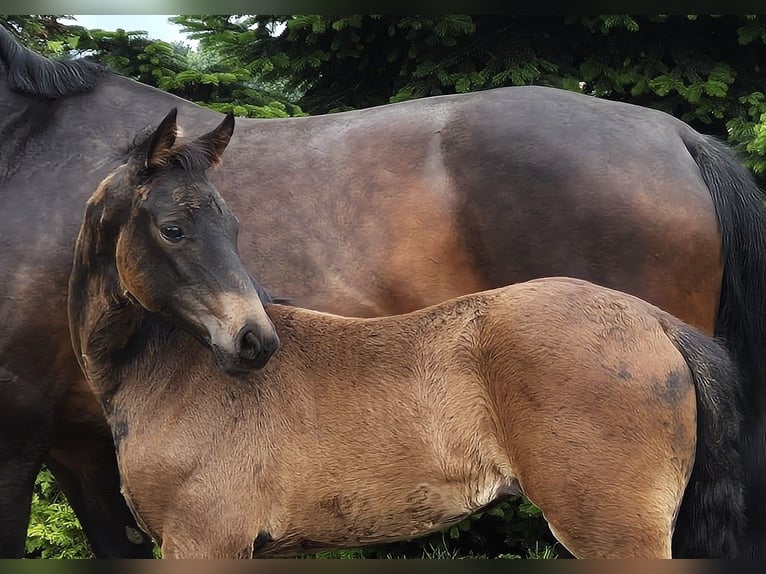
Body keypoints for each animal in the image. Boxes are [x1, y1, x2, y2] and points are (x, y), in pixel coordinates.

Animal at [3, 24, 766, 560]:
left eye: (231, 225)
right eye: (173, 227)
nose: (254, 339)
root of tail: (680, 134)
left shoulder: (29, 436)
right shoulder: (81, 451)